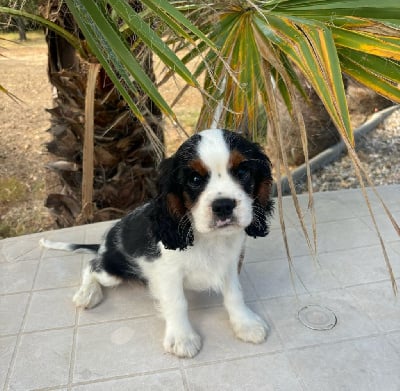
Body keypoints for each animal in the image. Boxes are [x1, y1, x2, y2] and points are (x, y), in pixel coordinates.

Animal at [40, 129, 274, 358]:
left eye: (243, 172)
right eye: (195, 179)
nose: (223, 205)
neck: (209, 239)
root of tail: (104, 245)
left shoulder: (229, 264)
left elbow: (235, 294)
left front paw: (246, 324)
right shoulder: (167, 272)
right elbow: (177, 302)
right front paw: (182, 338)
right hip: (112, 273)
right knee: (91, 267)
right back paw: (87, 294)